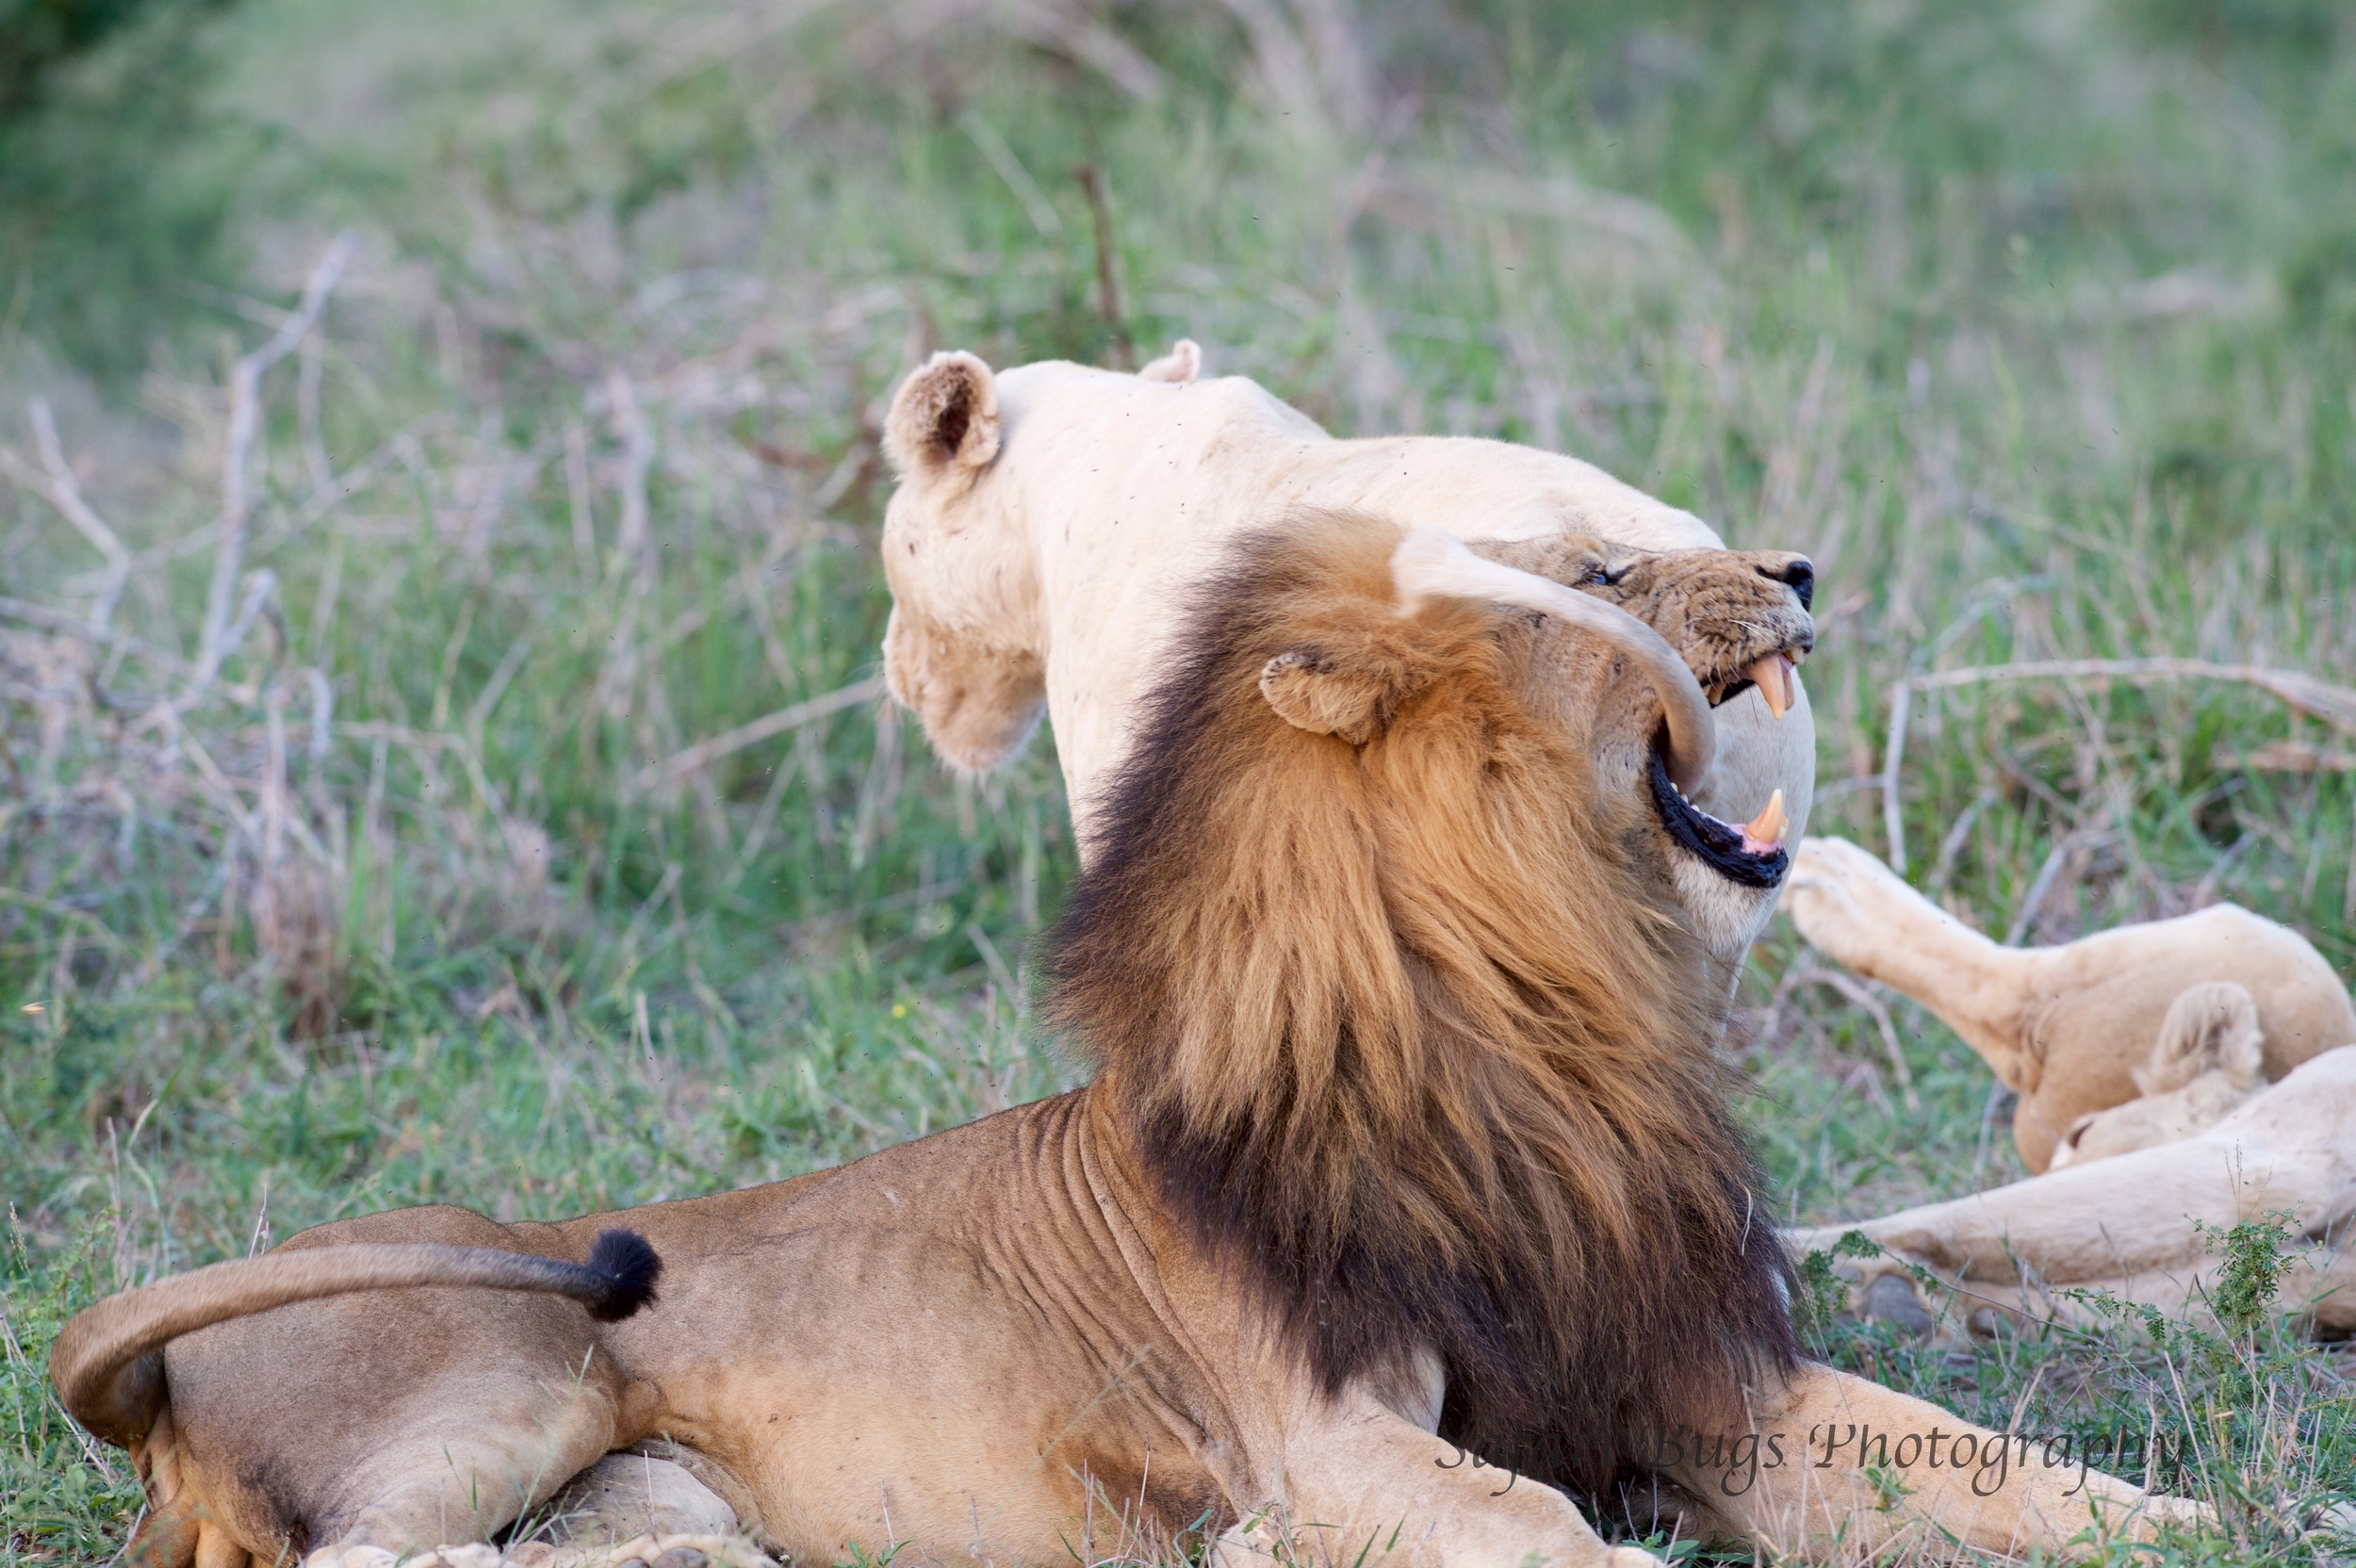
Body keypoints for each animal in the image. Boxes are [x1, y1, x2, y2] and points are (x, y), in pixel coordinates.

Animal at [50, 517, 2186, 1554]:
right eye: (1593, 573)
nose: (1803, 567)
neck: (1543, 1003)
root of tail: (156, 1392)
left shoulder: (1672, 1364)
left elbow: (1970, 1455)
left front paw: (2197, 1517)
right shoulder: (1322, 1432)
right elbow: (1544, 1534)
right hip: (519, 1367)